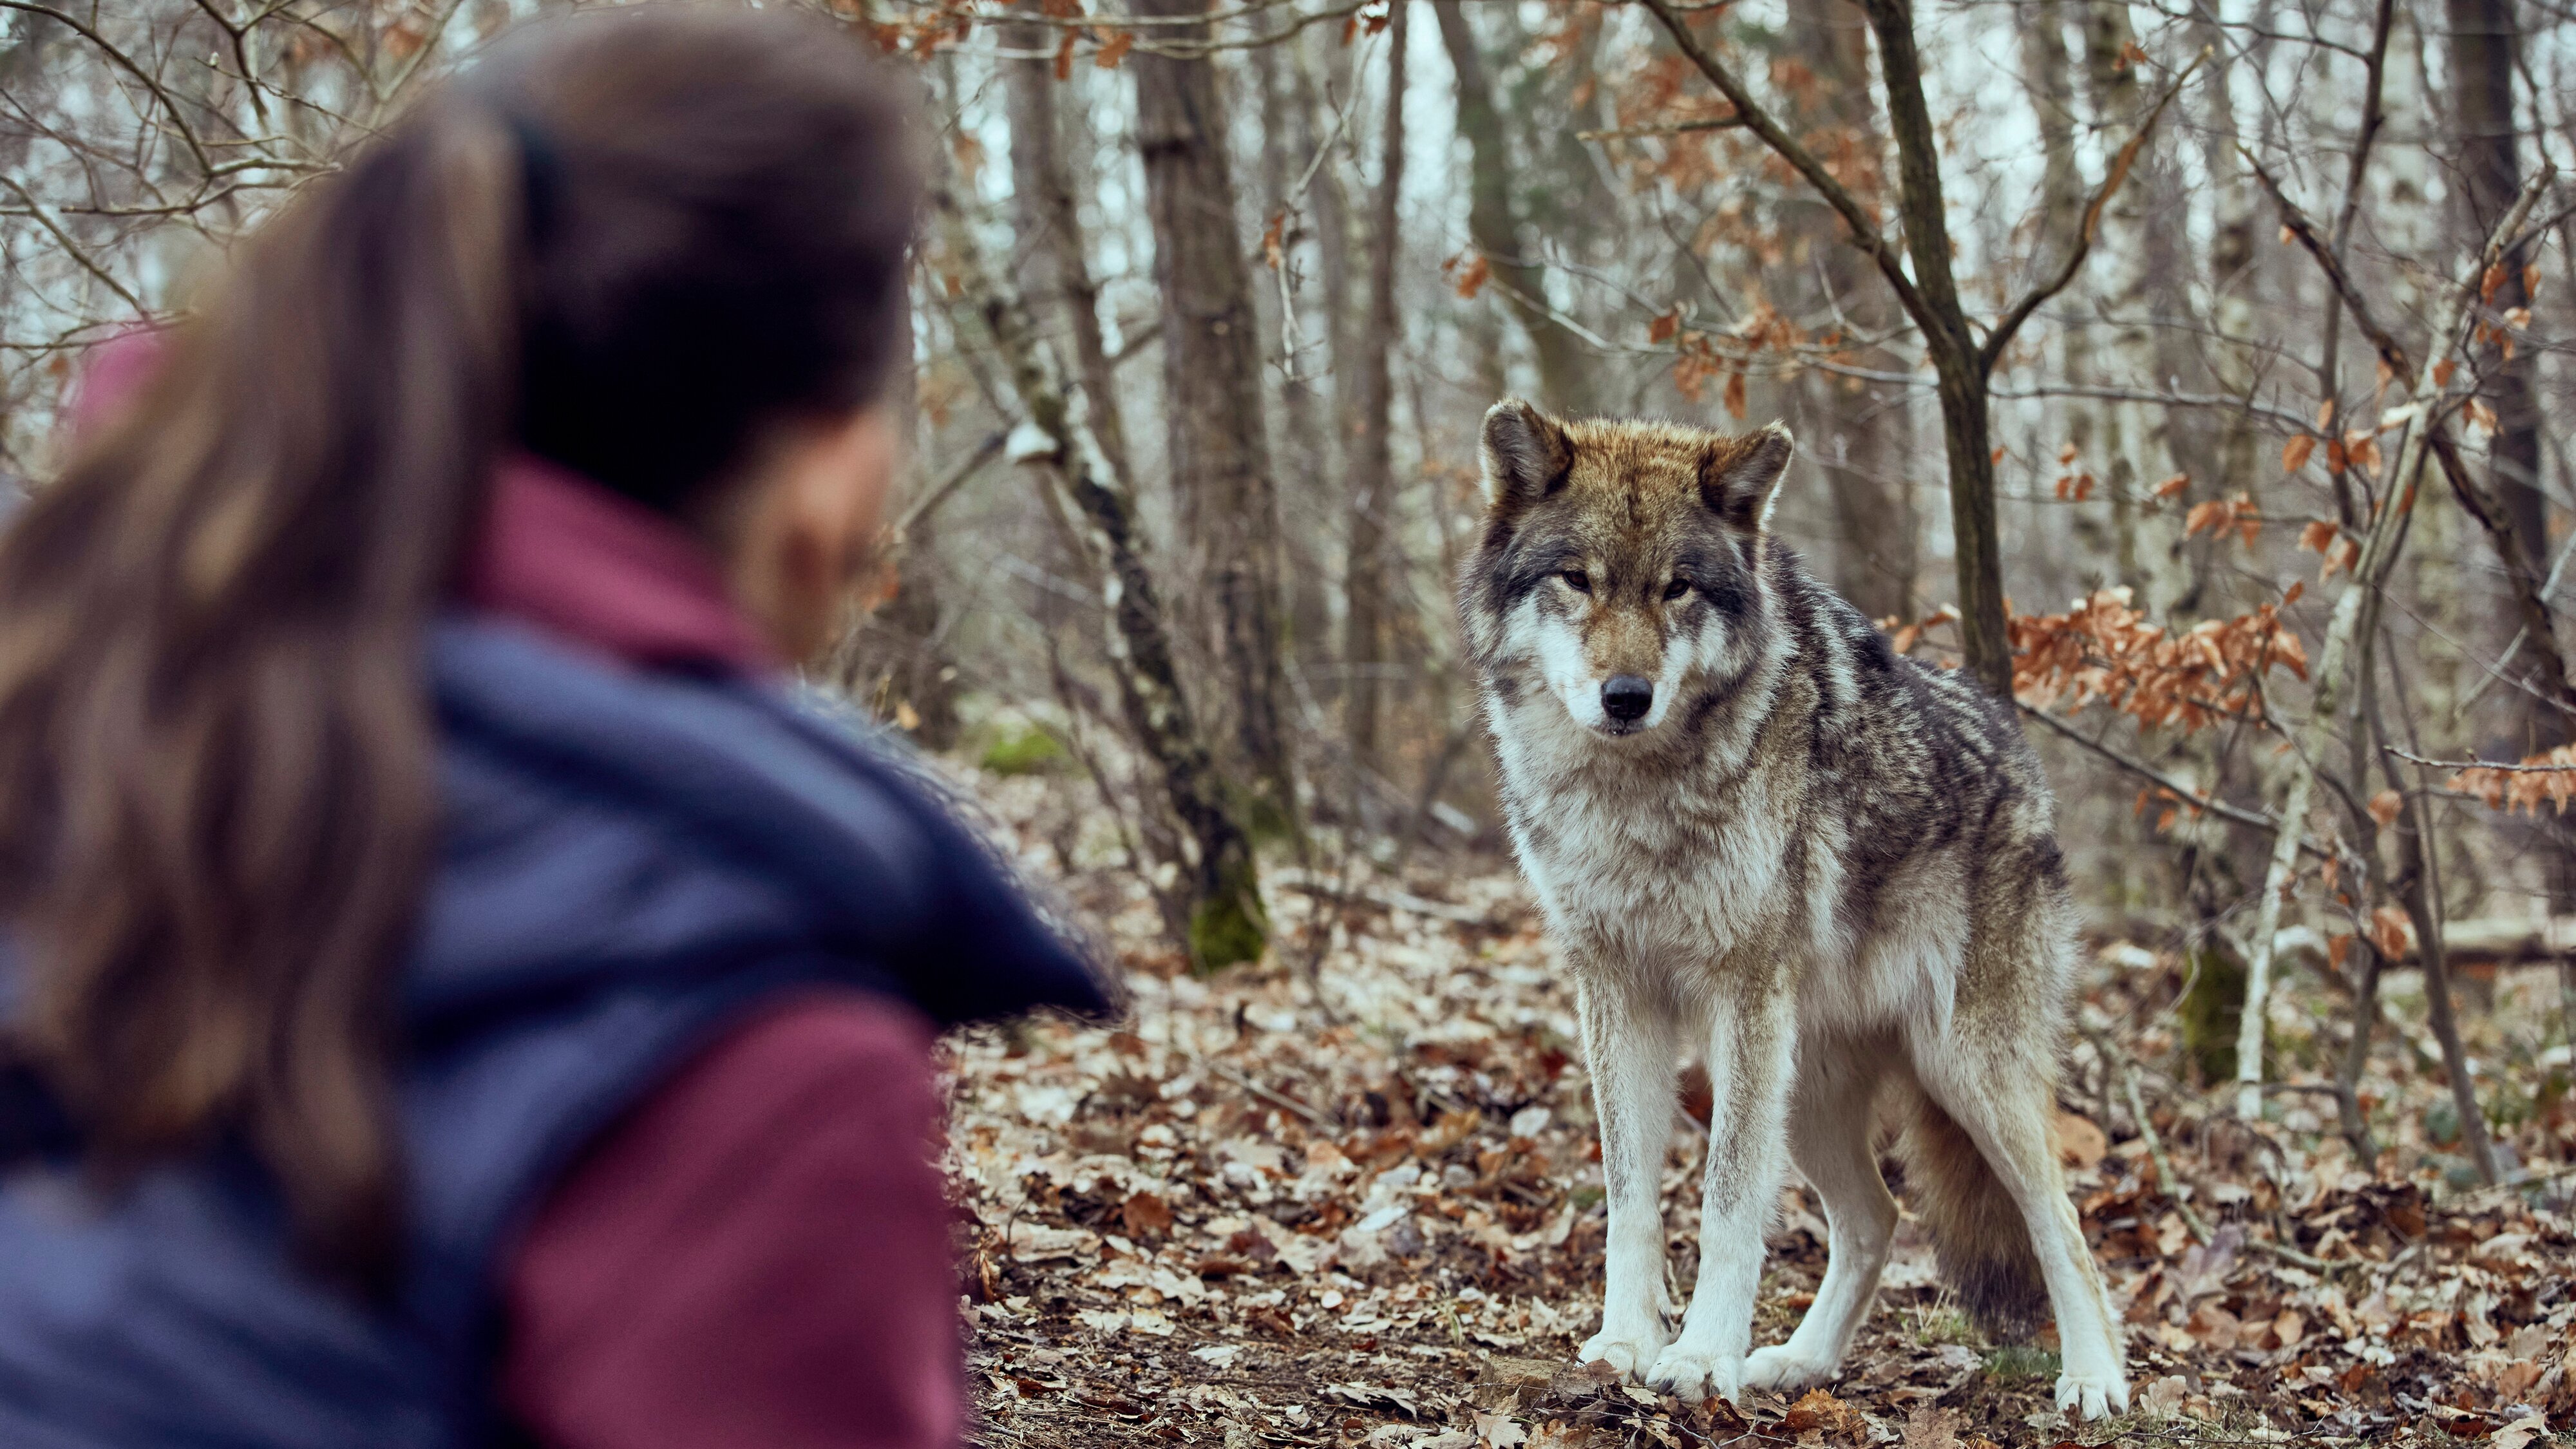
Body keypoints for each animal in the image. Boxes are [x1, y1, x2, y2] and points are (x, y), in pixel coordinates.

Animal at [1463, 399, 2123, 1412]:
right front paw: (1628, 1344)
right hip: (1805, 1084)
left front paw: (1701, 1358)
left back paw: (2093, 1379)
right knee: (1877, 1218)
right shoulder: (1614, 989)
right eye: (1578, 580)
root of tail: (2022, 760)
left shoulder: (1742, 991)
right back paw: (1801, 1363)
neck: (1634, 796)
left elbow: (1728, 1200)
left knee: (2062, 1221)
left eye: (1677, 589)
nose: (1627, 696)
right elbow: (1629, 1196)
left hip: (1961, 1070)